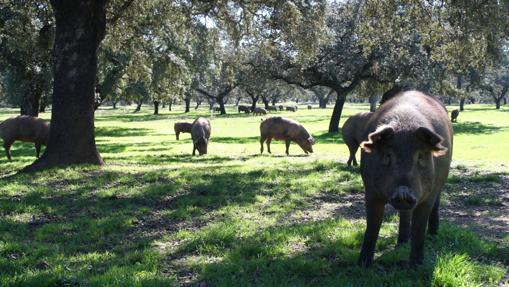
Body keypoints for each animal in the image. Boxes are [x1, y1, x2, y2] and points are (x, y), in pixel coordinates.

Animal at [358, 91, 452, 268]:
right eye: (388, 156)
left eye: (420, 157)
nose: (403, 192)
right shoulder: (370, 190)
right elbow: (372, 226)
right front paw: (363, 265)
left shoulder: (427, 196)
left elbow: (419, 228)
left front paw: (416, 267)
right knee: (405, 214)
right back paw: (401, 243)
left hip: (440, 181)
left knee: (436, 203)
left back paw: (433, 234)